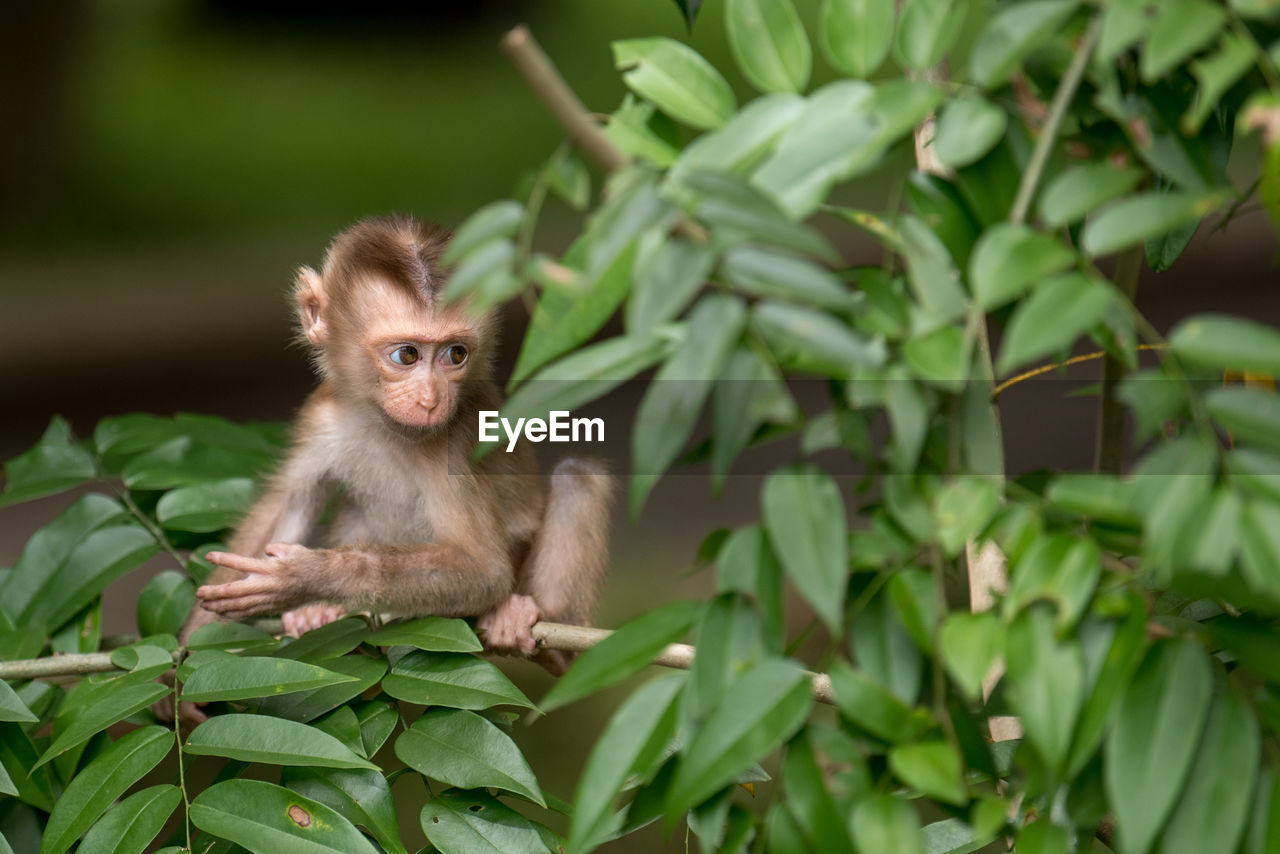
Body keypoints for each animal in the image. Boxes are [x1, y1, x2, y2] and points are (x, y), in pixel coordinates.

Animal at [157, 217, 616, 727]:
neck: (382, 423)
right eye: (406, 356)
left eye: (456, 354)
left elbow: (482, 567)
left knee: (578, 475)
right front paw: (181, 668)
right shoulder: (323, 415)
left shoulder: (452, 439)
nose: (432, 400)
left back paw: (539, 634)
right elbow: (287, 505)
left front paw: (305, 577)